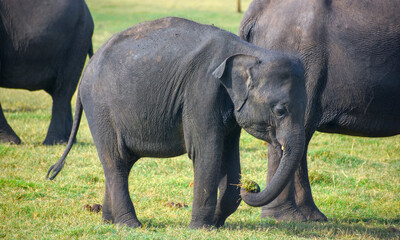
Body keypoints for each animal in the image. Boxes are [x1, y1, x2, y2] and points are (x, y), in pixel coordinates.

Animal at [48, 17, 308, 229]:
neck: (249, 51)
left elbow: (229, 155)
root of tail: (86, 72)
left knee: (122, 162)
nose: (252, 186)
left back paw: (109, 222)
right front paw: (201, 228)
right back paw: (131, 225)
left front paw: (216, 222)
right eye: (280, 110)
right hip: (101, 109)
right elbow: (206, 151)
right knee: (115, 160)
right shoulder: (201, 91)